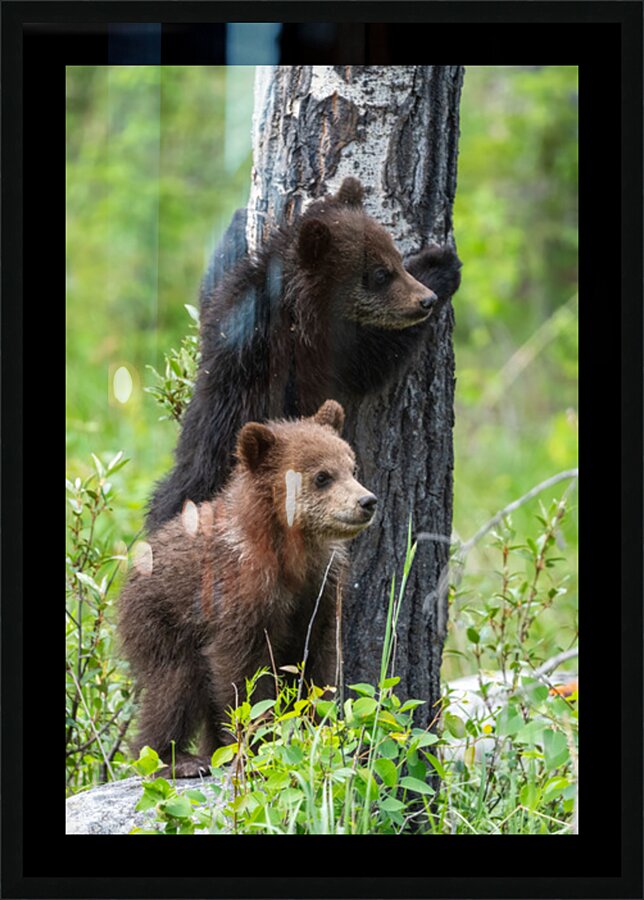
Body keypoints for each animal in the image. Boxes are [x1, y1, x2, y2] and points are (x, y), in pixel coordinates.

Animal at [118, 400, 376, 777]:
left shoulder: (320, 590)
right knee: (174, 684)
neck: (292, 552)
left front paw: (317, 731)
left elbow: (316, 661)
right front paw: (258, 745)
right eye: (322, 476)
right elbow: (242, 671)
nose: (367, 502)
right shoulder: (240, 591)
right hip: (161, 619)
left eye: (351, 466)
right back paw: (172, 758)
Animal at [146, 176, 461, 532]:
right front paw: (440, 265)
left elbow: (212, 290)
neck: (295, 302)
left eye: (393, 254)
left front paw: (237, 224)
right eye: (381, 273)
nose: (426, 300)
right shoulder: (308, 350)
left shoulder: (231, 313)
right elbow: (372, 359)